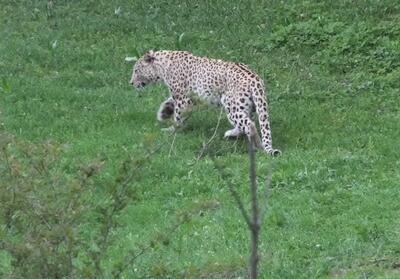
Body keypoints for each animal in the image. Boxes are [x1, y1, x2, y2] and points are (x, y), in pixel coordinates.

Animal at [130, 49, 280, 155]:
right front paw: (164, 113)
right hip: (247, 105)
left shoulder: (183, 98)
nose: (131, 83)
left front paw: (173, 129)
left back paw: (258, 146)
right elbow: (170, 102)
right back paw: (231, 134)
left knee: (249, 124)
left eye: (136, 70)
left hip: (230, 104)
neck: (162, 67)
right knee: (246, 121)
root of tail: (256, 80)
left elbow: (178, 115)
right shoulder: (187, 97)